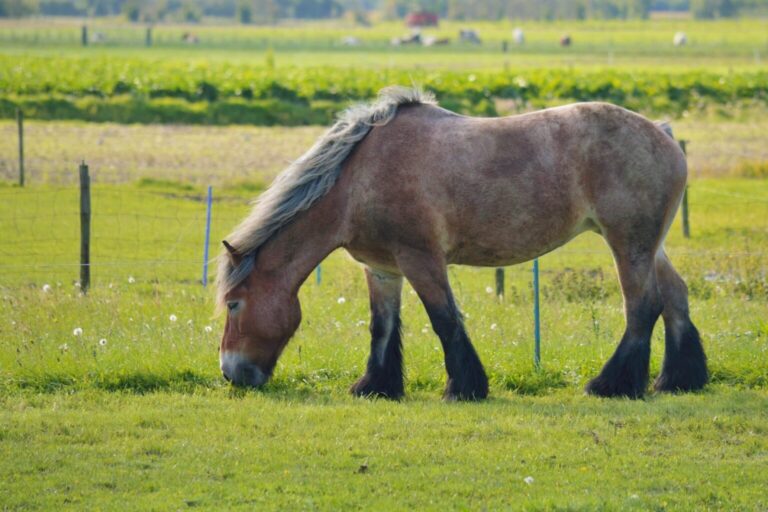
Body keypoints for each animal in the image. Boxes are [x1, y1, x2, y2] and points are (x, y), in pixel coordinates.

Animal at [214, 87, 708, 400]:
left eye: (234, 304)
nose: (230, 373)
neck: (358, 180)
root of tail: (662, 132)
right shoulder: (382, 269)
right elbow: (382, 327)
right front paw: (376, 386)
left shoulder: (421, 259)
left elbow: (444, 320)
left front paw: (465, 387)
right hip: (650, 246)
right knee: (676, 297)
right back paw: (678, 380)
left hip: (629, 244)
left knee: (643, 307)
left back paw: (612, 385)